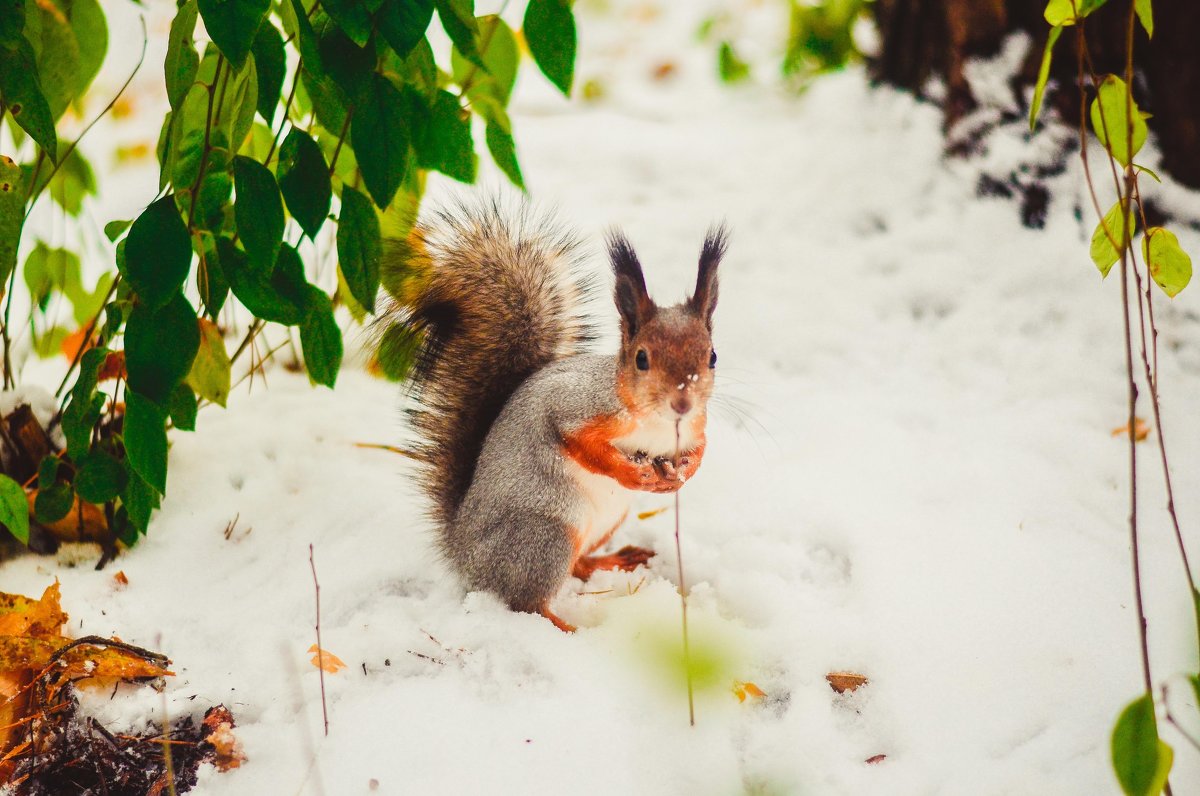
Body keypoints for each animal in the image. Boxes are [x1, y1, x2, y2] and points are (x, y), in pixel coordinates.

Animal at [384, 202, 720, 633]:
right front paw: (632, 474)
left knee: (578, 566)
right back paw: (569, 630)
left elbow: (701, 448)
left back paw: (614, 561)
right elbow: (579, 443)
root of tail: (463, 554)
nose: (682, 403)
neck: (660, 424)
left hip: (603, 523)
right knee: (526, 602)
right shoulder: (573, 407)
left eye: (712, 356)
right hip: (545, 537)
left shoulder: (696, 427)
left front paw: (683, 474)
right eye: (642, 358)